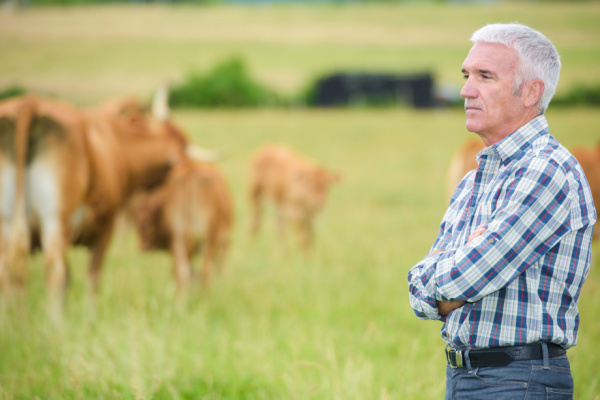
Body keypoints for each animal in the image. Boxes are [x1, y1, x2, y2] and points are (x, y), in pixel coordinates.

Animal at [0, 93, 192, 318]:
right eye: (181, 141)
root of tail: (29, 104)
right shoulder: (105, 228)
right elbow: (92, 276)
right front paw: (91, 317)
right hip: (55, 219)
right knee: (53, 270)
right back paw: (54, 323)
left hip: (9, 221)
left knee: (10, 271)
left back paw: (15, 321)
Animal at [127, 158, 233, 290]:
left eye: (145, 223)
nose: (142, 247)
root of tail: (190, 171)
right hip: (206, 239)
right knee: (202, 271)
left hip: (183, 240)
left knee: (186, 273)